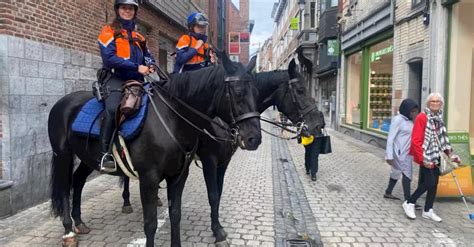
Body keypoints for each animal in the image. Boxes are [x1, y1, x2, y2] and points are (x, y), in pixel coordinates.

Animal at [47, 54, 262, 247]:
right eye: (238, 92)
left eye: (256, 91)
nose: (254, 139)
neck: (171, 119)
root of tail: (63, 102)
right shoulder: (149, 178)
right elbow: (150, 223)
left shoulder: (178, 176)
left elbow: (175, 215)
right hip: (63, 155)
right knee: (64, 188)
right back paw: (68, 232)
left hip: (86, 158)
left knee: (78, 181)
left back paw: (79, 223)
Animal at [119, 58, 326, 244]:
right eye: (300, 91)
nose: (319, 124)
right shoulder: (209, 160)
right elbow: (213, 195)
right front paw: (217, 233)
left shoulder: (223, 162)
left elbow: (218, 193)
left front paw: (217, 227)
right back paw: (126, 202)